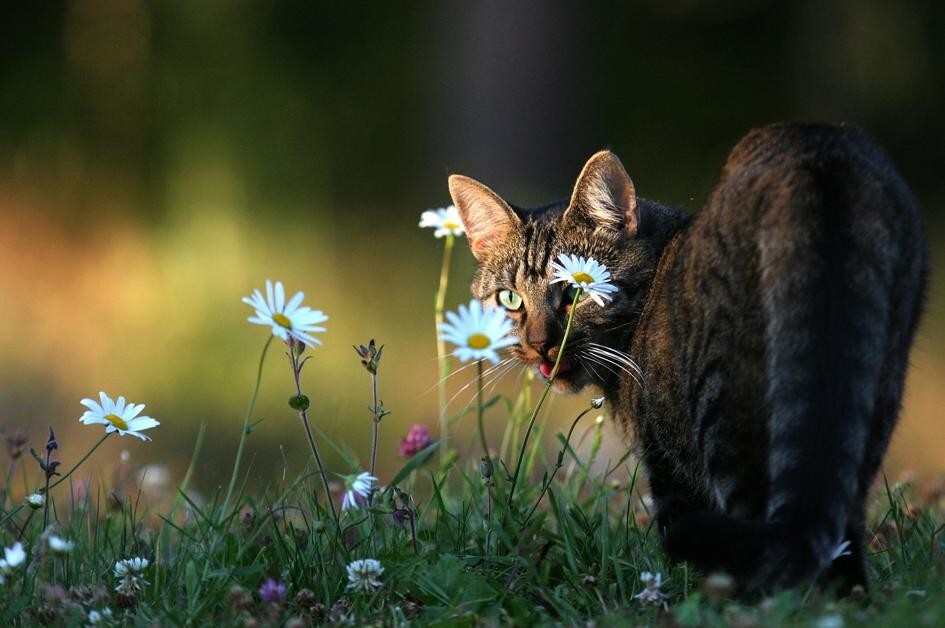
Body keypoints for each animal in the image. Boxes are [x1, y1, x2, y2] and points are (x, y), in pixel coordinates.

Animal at [448, 124, 928, 592]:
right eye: (509, 299)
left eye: (576, 291)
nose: (540, 344)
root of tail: (816, 153)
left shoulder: (667, 460)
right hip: (874, 381)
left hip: (726, 404)